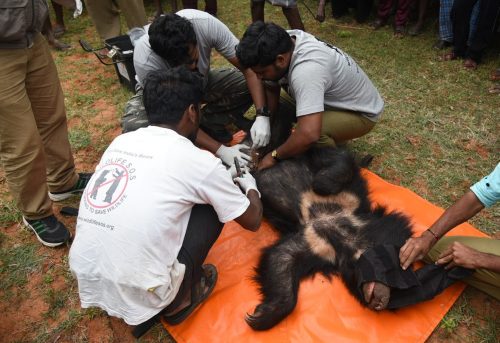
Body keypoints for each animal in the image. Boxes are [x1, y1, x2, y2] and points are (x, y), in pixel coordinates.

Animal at [246, 146, 414, 332]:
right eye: (392, 276)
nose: (380, 302)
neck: (350, 237)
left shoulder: (321, 246)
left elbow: (283, 256)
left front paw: (260, 316)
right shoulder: (350, 200)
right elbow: (340, 160)